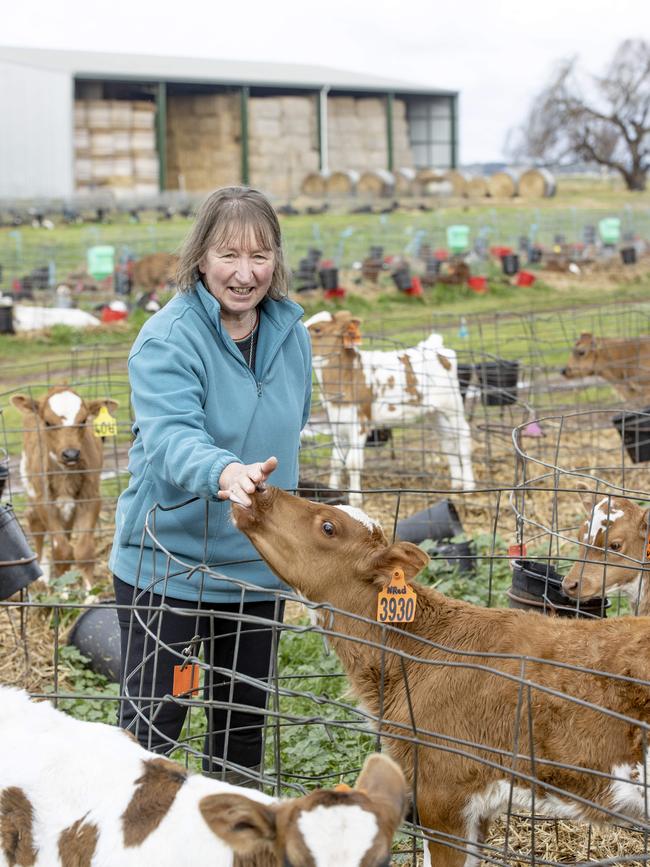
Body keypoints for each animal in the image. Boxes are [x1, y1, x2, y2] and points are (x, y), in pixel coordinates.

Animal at [10, 388, 118, 588]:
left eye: (83, 421)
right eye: (48, 422)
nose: (71, 454)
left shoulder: (91, 497)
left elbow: (83, 551)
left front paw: (89, 591)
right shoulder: (44, 501)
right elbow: (61, 551)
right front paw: (63, 591)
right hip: (31, 490)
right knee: (34, 522)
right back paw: (41, 575)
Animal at [304, 310, 470, 508]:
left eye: (317, 329)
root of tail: (434, 345)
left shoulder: (360, 422)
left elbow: (353, 462)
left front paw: (356, 499)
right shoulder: (337, 421)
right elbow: (336, 461)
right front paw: (333, 490)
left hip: (453, 405)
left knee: (463, 435)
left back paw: (469, 485)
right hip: (434, 413)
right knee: (447, 441)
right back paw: (456, 483)